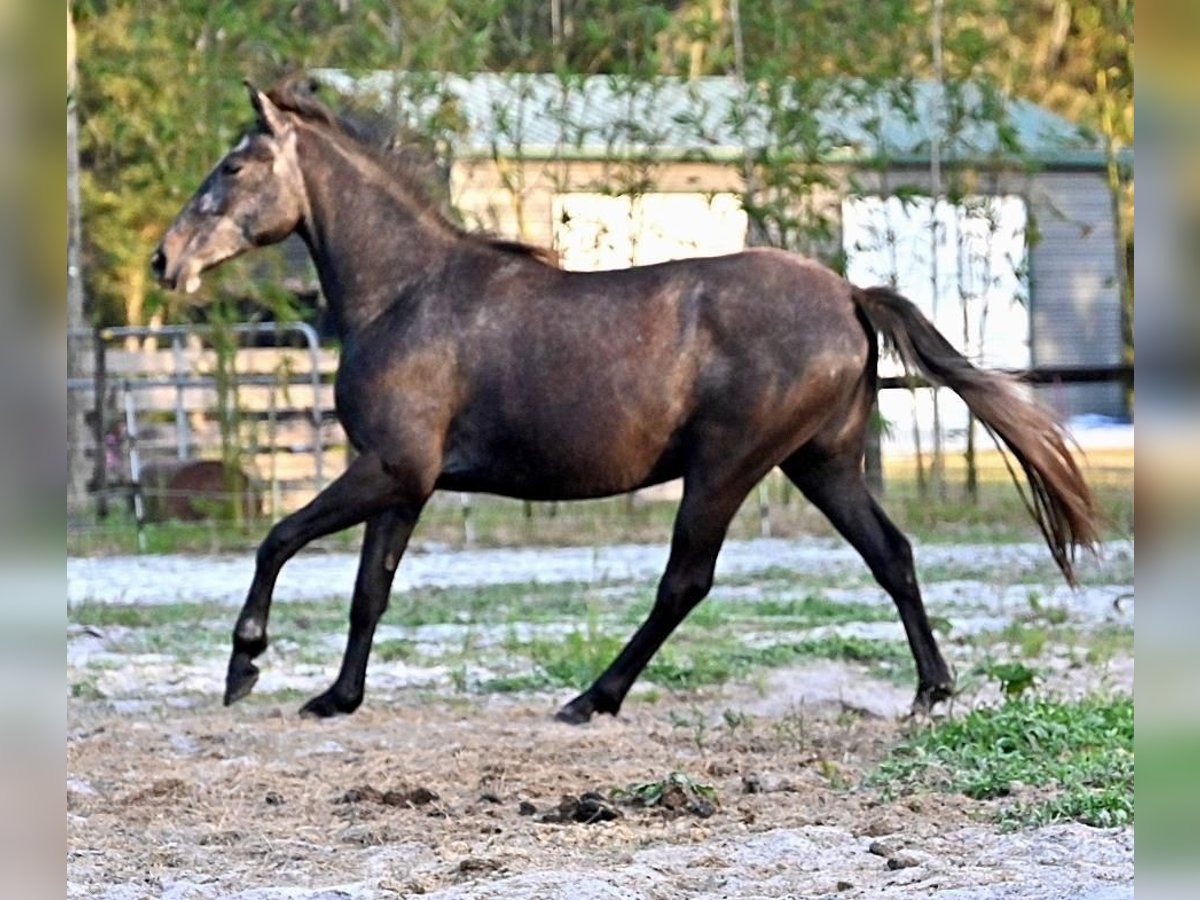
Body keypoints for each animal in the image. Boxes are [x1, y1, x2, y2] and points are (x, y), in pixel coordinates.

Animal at [152, 78, 1099, 722]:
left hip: (726, 468)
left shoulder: (389, 468)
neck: (405, 293)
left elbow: (278, 539)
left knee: (686, 580)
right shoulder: (406, 484)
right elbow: (368, 592)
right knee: (891, 555)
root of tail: (848, 294)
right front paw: (336, 697)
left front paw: (245, 668)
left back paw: (591, 698)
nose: (167, 260)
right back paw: (931, 692)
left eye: (233, 165)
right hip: (821, 464)